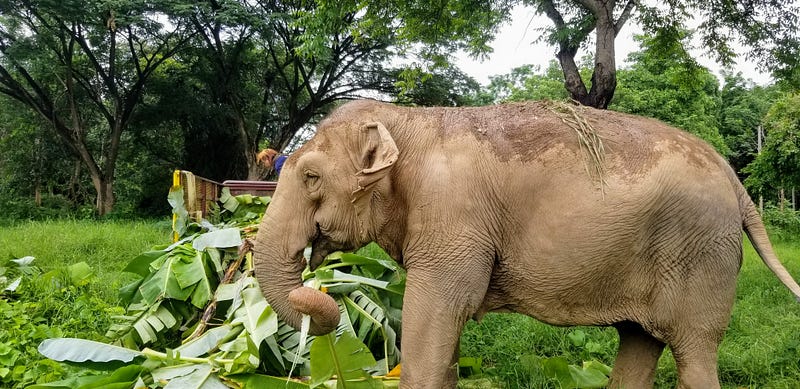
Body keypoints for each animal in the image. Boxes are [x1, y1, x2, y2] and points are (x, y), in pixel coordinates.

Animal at [255, 98, 800, 386]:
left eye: (310, 177)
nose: (317, 291)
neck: (408, 120)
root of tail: (734, 180)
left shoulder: (454, 223)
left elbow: (436, 312)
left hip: (701, 253)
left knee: (694, 348)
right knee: (640, 339)